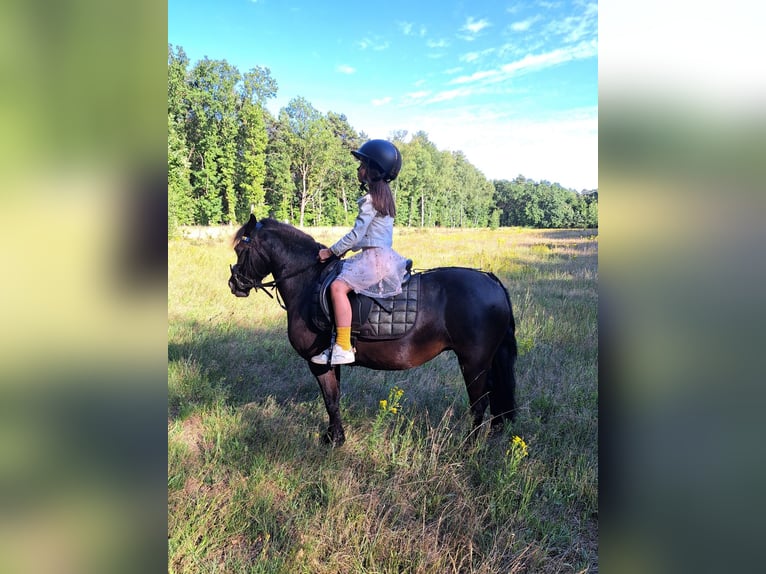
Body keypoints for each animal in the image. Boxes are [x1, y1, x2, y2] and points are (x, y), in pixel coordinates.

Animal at [228, 216, 516, 446]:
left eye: (242, 248)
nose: (234, 284)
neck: (308, 282)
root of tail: (491, 280)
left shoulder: (317, 362)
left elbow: (329, 399)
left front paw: (333, 441)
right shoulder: (331, 361)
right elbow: (334, 398)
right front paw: (335, 436)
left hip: (473, 362)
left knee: (479, 403)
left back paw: (468, 446)